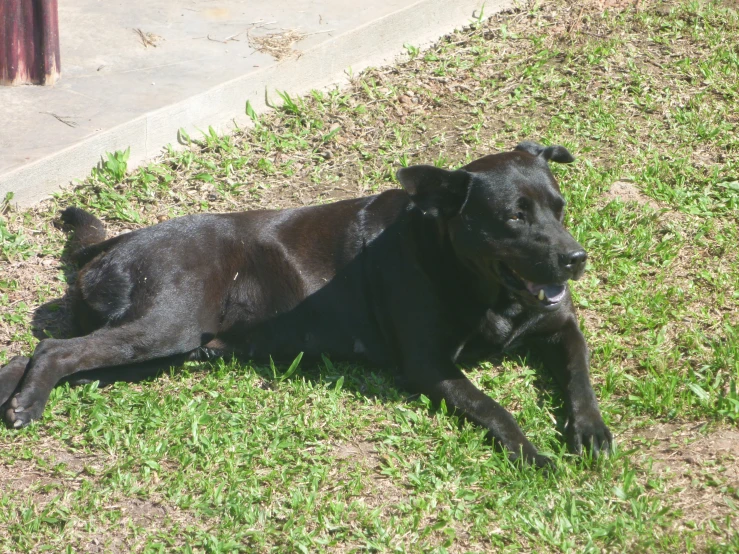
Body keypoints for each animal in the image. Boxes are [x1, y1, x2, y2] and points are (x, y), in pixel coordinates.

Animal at [1, 140, 612, 464]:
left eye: (559, 207)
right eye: (514, 217)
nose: (577, 258)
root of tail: (112, 244)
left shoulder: (561, 326)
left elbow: (579, 372)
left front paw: (589, 430)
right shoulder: (430, 366)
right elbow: (492, 407)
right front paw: (531, 453)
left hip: (154, 351)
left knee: (33, 356)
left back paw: (18, 396)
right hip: (162, 328)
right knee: (55, 350)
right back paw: (27, 406)